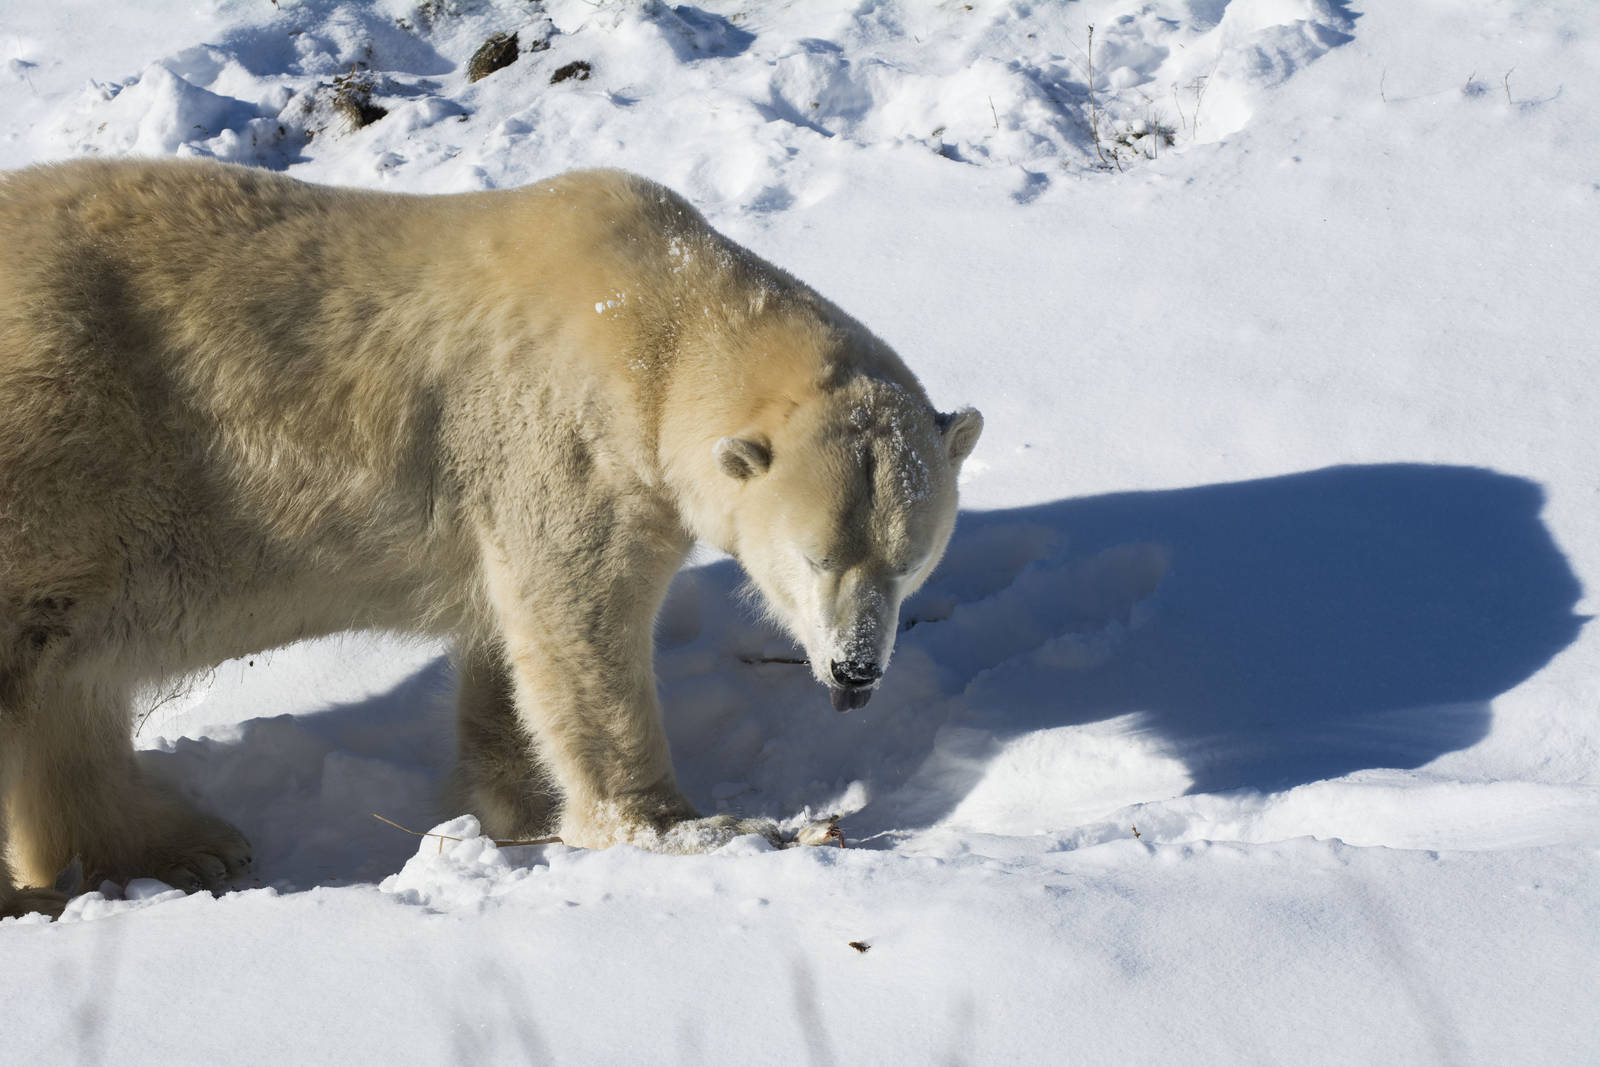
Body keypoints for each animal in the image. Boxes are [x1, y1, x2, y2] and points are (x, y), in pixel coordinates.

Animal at [0, 158, 982, 919]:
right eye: (813, 557)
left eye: (910, 563)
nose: (855, 670)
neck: (655, 313)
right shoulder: (568, 436)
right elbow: (579, 624)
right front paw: (693, 825)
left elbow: (508, 653)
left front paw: (516, 808)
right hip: (54, 446)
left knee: (71, 685)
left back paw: (182, 846)